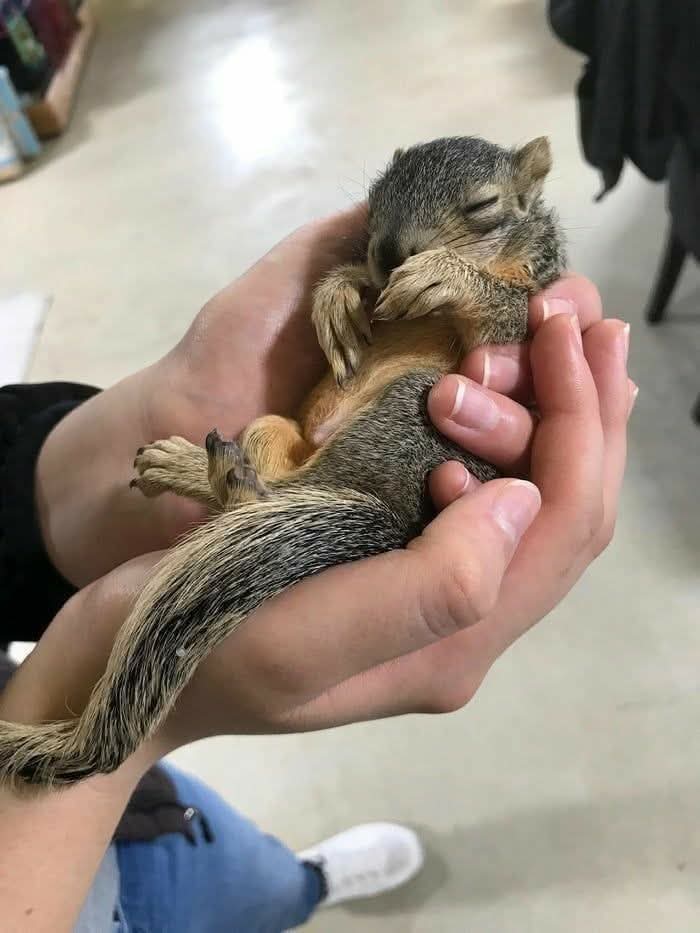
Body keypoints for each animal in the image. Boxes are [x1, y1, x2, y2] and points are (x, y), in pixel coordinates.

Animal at [0, 135, 566, 788]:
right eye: (374, 196)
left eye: (483, 205)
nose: (388, 253)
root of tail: (394, 515)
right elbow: (347, 289)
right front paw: (337, 294)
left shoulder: (528, 312)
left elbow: (505, 319)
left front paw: (441, 276)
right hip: (276, 428)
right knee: (262, 482)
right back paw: (198, 466)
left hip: (409, 412)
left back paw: (212, 470)